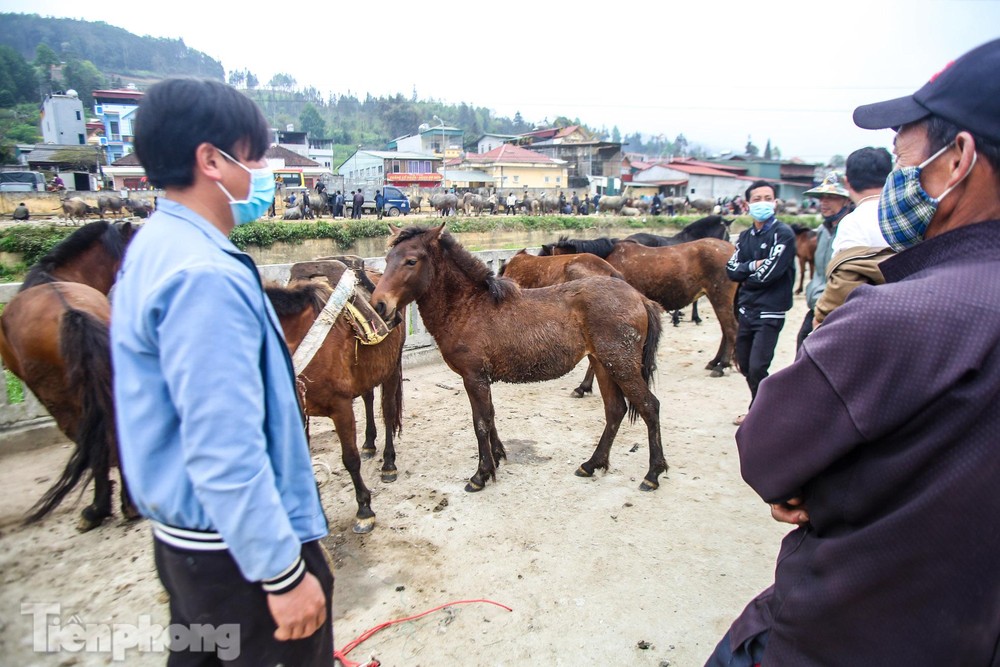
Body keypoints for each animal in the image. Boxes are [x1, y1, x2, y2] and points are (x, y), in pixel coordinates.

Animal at [268, 260, 408, 532]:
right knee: (368, 398)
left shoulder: (340, 406)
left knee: (387, 411)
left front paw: (364, 510)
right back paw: (369, 443)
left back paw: (388, 464)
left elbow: (350, 459)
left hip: (390, 367)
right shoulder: (301, 410)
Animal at [372, 227, 668, 494]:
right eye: (387, 259)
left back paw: (652, 474)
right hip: (602, 364)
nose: (379, 305)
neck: (469, 307)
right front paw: (497, 457)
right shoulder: (481, 378)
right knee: (615, 410)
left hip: (621, 366)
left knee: (649, 406)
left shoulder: (473, 376)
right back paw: (591, 464)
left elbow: (480, 423)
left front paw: (481, 474)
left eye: (411, 260)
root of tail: (639, 298)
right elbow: (489, 416)